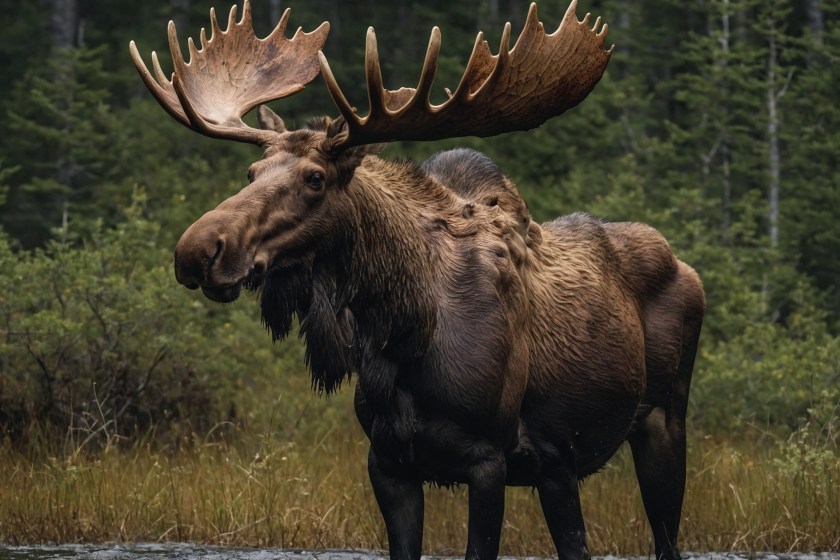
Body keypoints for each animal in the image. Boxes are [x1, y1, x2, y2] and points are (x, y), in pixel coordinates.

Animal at [129, 2, 705, 560]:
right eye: (251, 173)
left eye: (315, 178)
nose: (198, 250)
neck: (403, 338)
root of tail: (685, 267)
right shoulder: (389, 463)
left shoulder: (488, 460)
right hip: (556, 470)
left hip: (663, 422)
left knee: (666, 538)